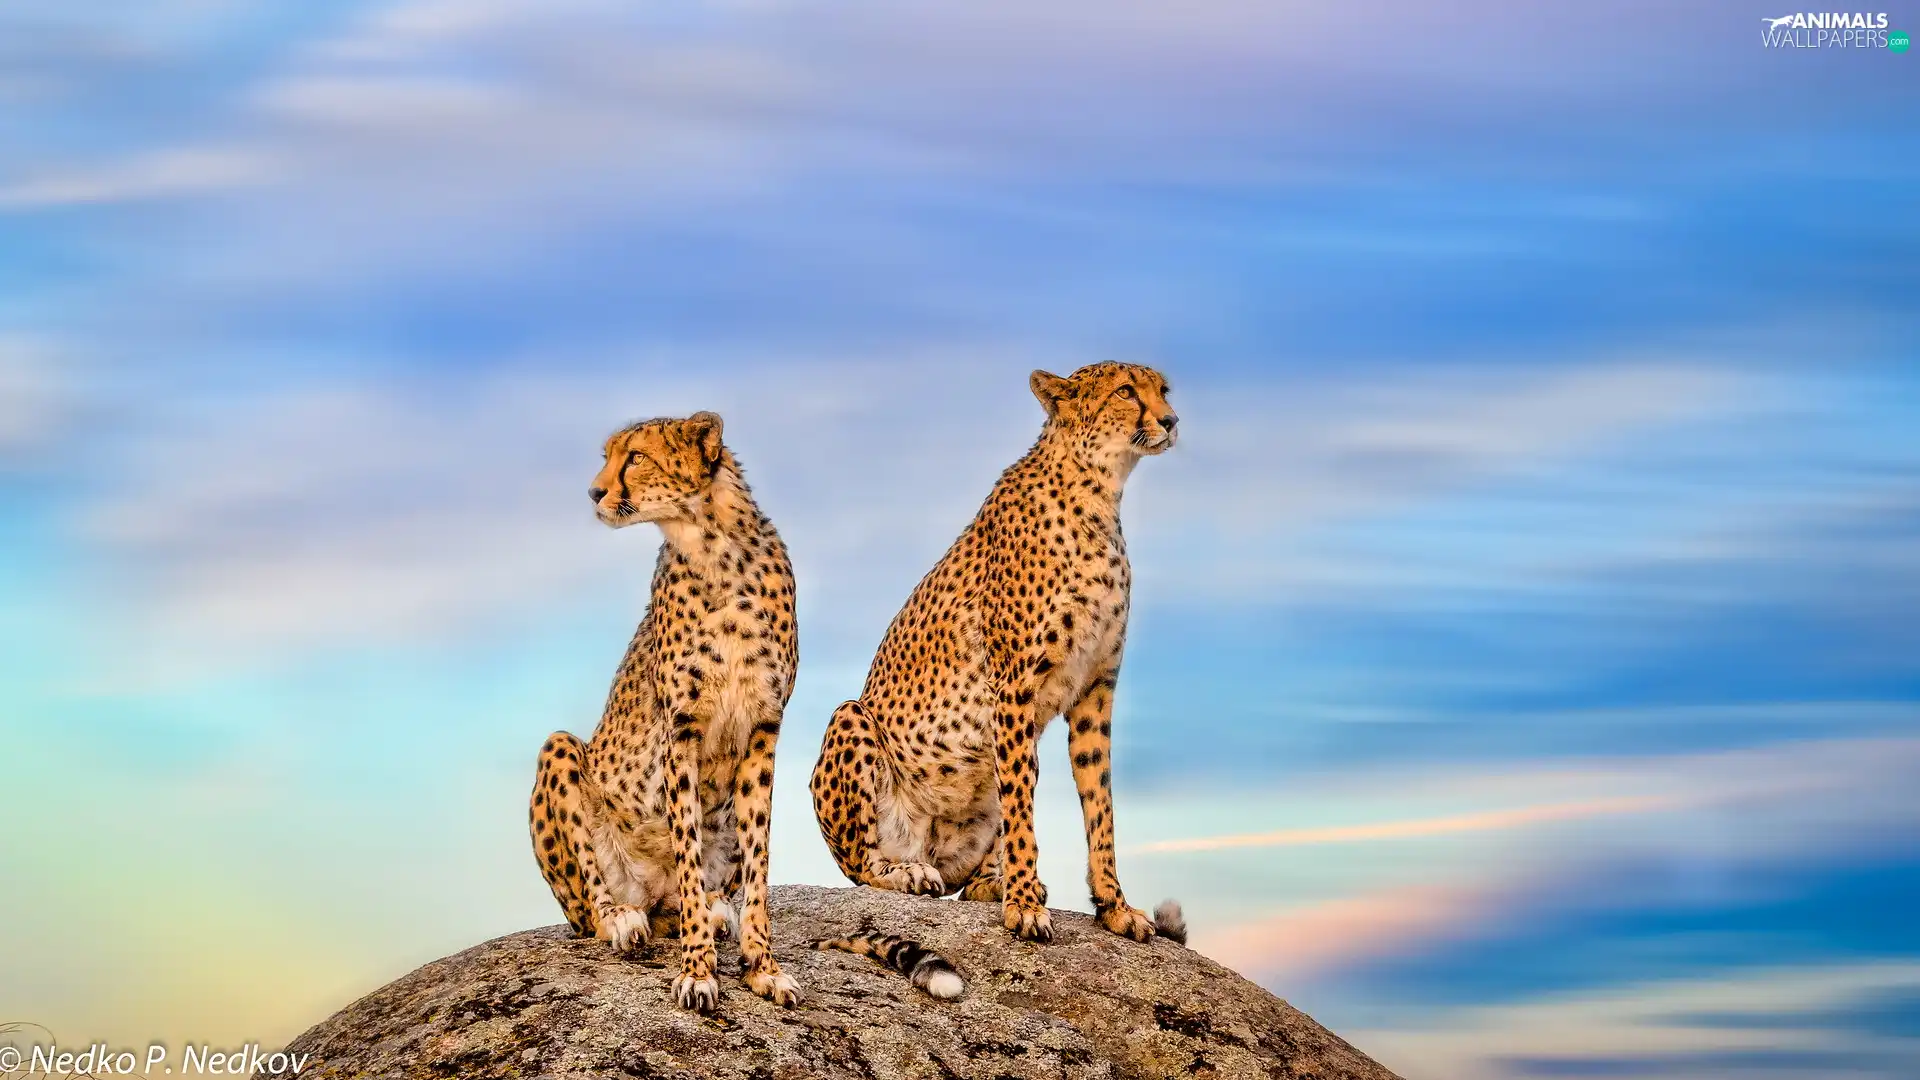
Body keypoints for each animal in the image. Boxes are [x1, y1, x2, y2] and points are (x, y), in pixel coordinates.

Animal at [529, 409, 798, 1006]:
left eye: (636, 457)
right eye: (608, 456)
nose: (594, 491)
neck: (715, 550)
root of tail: (652, 897)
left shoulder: (764, 730)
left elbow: (759, 860)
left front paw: (762, 966)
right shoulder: (682, 730)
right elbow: (687, 848)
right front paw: (698, 970)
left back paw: (718, 911)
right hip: (561, 751)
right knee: (592, 907)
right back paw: (623, 917)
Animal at [806, 361, 1182, 949]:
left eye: (1162, 390)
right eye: (1126, 391)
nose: (1171, 420)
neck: (1100, 491)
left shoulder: (1095, 691)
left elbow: (1100, 808)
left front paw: (1114, 908)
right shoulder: (1014, 687)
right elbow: (1024, 808)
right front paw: (1024, 907)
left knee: (970, 870)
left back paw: (991, 881)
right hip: (853, 721)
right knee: (865, 867)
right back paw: (913, 874)